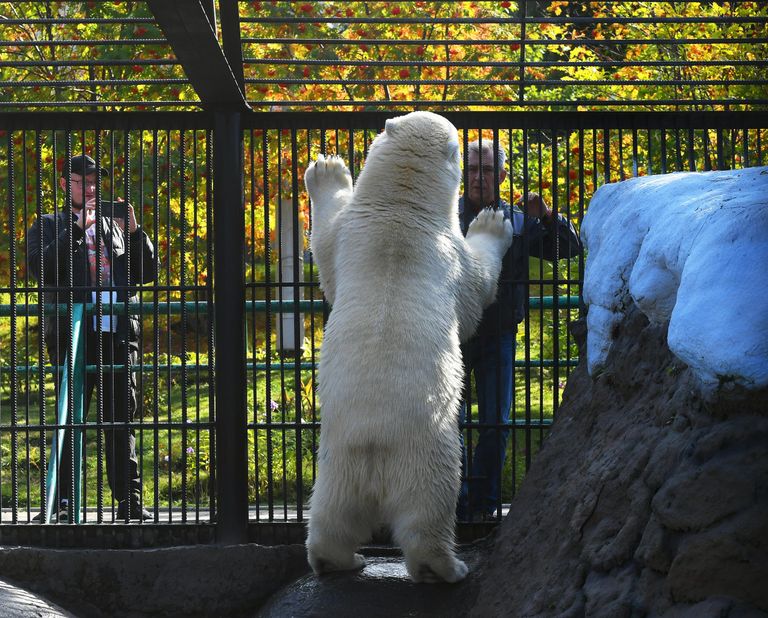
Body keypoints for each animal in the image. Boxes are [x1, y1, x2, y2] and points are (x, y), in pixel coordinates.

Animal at [304, 111, 513, 583]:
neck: (399, 210)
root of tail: (374, 449)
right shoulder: (450, 251)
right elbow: (476, 294)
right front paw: (492, 222)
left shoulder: (352, 233)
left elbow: (326, 251)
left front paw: (325, 169)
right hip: (428, 457)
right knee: (428, 513)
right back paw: (445, 567)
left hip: (336, 462)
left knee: (331, 515)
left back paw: (339, 559)